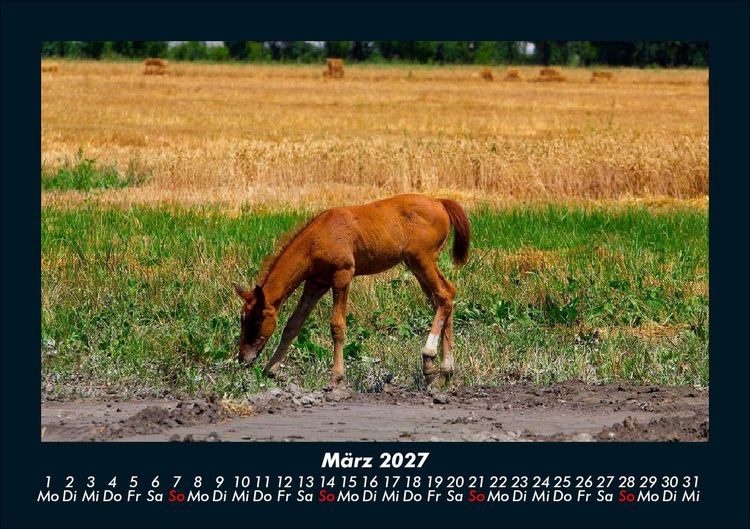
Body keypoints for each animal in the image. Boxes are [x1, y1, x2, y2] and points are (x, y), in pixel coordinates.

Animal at [232, 194, 470, 387]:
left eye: (255, 320)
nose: (242, 358)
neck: (318, 237)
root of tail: (439, 201)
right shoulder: (315, 283)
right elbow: (293, 324)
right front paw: (270, 370)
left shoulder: (343, 275)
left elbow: (337, 326)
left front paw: (336, 377)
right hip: (416, 266)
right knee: (445, 297)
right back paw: (444, 371)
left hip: (422, 259)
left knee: (444, 296)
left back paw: (429, 358)